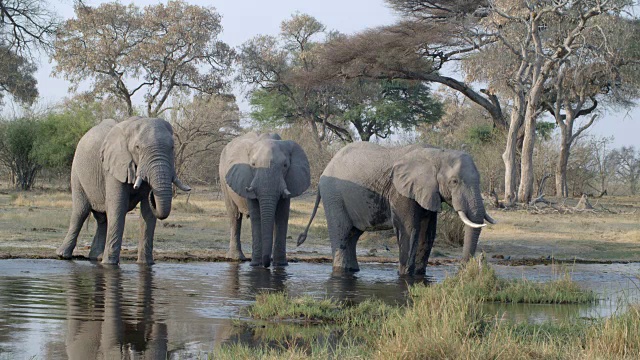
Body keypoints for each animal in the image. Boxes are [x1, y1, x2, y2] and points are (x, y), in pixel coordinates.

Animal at [57, 116, 190, 264]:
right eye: (137, 148)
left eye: (172, 148)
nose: (152, 193)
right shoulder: (114, 166)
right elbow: (117, 207)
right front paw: (109, 264)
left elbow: (148, 213)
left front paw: (146, 264)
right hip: (76, 173)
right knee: (81, 212)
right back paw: (63, 255)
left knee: (102, 219)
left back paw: (96, 257)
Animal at [219, 132, 312, 268]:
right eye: (253, 165)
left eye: (285, 166)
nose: (266, 264)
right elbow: (257, 216)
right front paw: (255, 265)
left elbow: (282, 215)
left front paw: (281, 265)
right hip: (223, 178)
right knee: (234, 216)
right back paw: (236, 258)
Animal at [298, 143, 498, 276]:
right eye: (454, 182)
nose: (463, 270)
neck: (436, 154)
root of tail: (326, 168)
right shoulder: (400, 190)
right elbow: (410, 229)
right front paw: (405, 276)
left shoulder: (426, 192)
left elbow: (428, 232)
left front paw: (418, 275)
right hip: (334, 196)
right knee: (342, 233)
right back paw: (342, 271)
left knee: (352, 235)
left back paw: (352, 270)